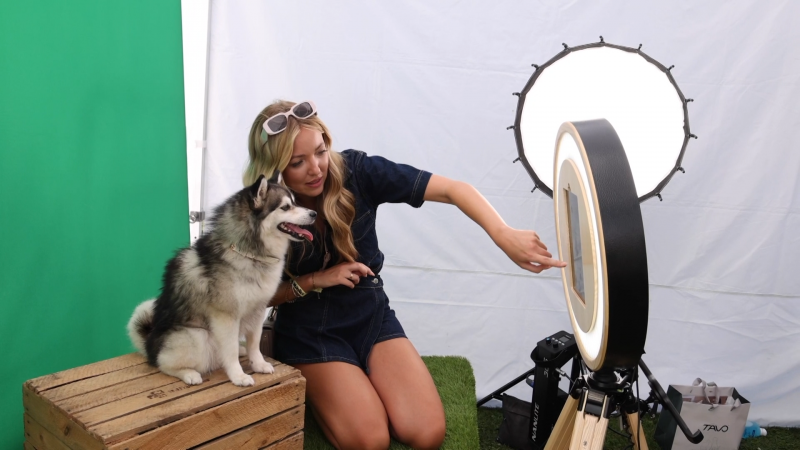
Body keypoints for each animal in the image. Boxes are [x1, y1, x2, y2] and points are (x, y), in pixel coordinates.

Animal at [126, 174, 314, 384]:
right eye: (286, 207)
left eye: (295, 202)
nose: (314, 213)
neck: (249, 252)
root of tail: (149, 345)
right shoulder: (226, 317)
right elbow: (229, 351)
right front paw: (238, 376)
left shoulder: (257, 310)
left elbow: (255, 342)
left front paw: (258, 364)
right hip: (196, 336)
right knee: (163, 364)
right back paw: (189, 374)